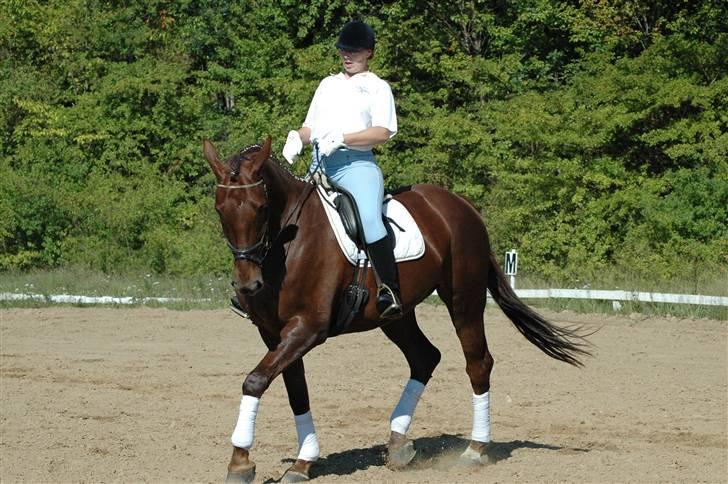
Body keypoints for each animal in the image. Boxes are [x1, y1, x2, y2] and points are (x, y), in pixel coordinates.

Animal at [202, 134, 588, 482]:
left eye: (261, 208)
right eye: (220, 209)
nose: (247, 285)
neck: (287, 244)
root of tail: (462, 205)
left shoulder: (308, 328)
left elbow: (254, 381)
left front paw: (241, 462)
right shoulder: (274, 333)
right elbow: (293, 390)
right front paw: (301, 462)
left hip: (464, 299)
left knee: (478, 362)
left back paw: (474, 449)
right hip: (396, 315)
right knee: (425, 357)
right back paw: (399, 444)